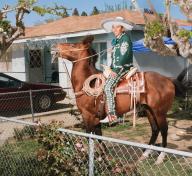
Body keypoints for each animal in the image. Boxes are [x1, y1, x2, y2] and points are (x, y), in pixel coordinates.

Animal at [51, 36, 181, 151]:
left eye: (73, 45)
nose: (54, 46)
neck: (89, 82)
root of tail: (168, 80)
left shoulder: (87, 115)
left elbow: (90, 136)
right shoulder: (96, 118)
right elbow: (99, 137)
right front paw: (103, 155)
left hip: (160, 112)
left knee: (164, 130)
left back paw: (160, 157)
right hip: (149, 110)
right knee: (155, 129)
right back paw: (145, 154)